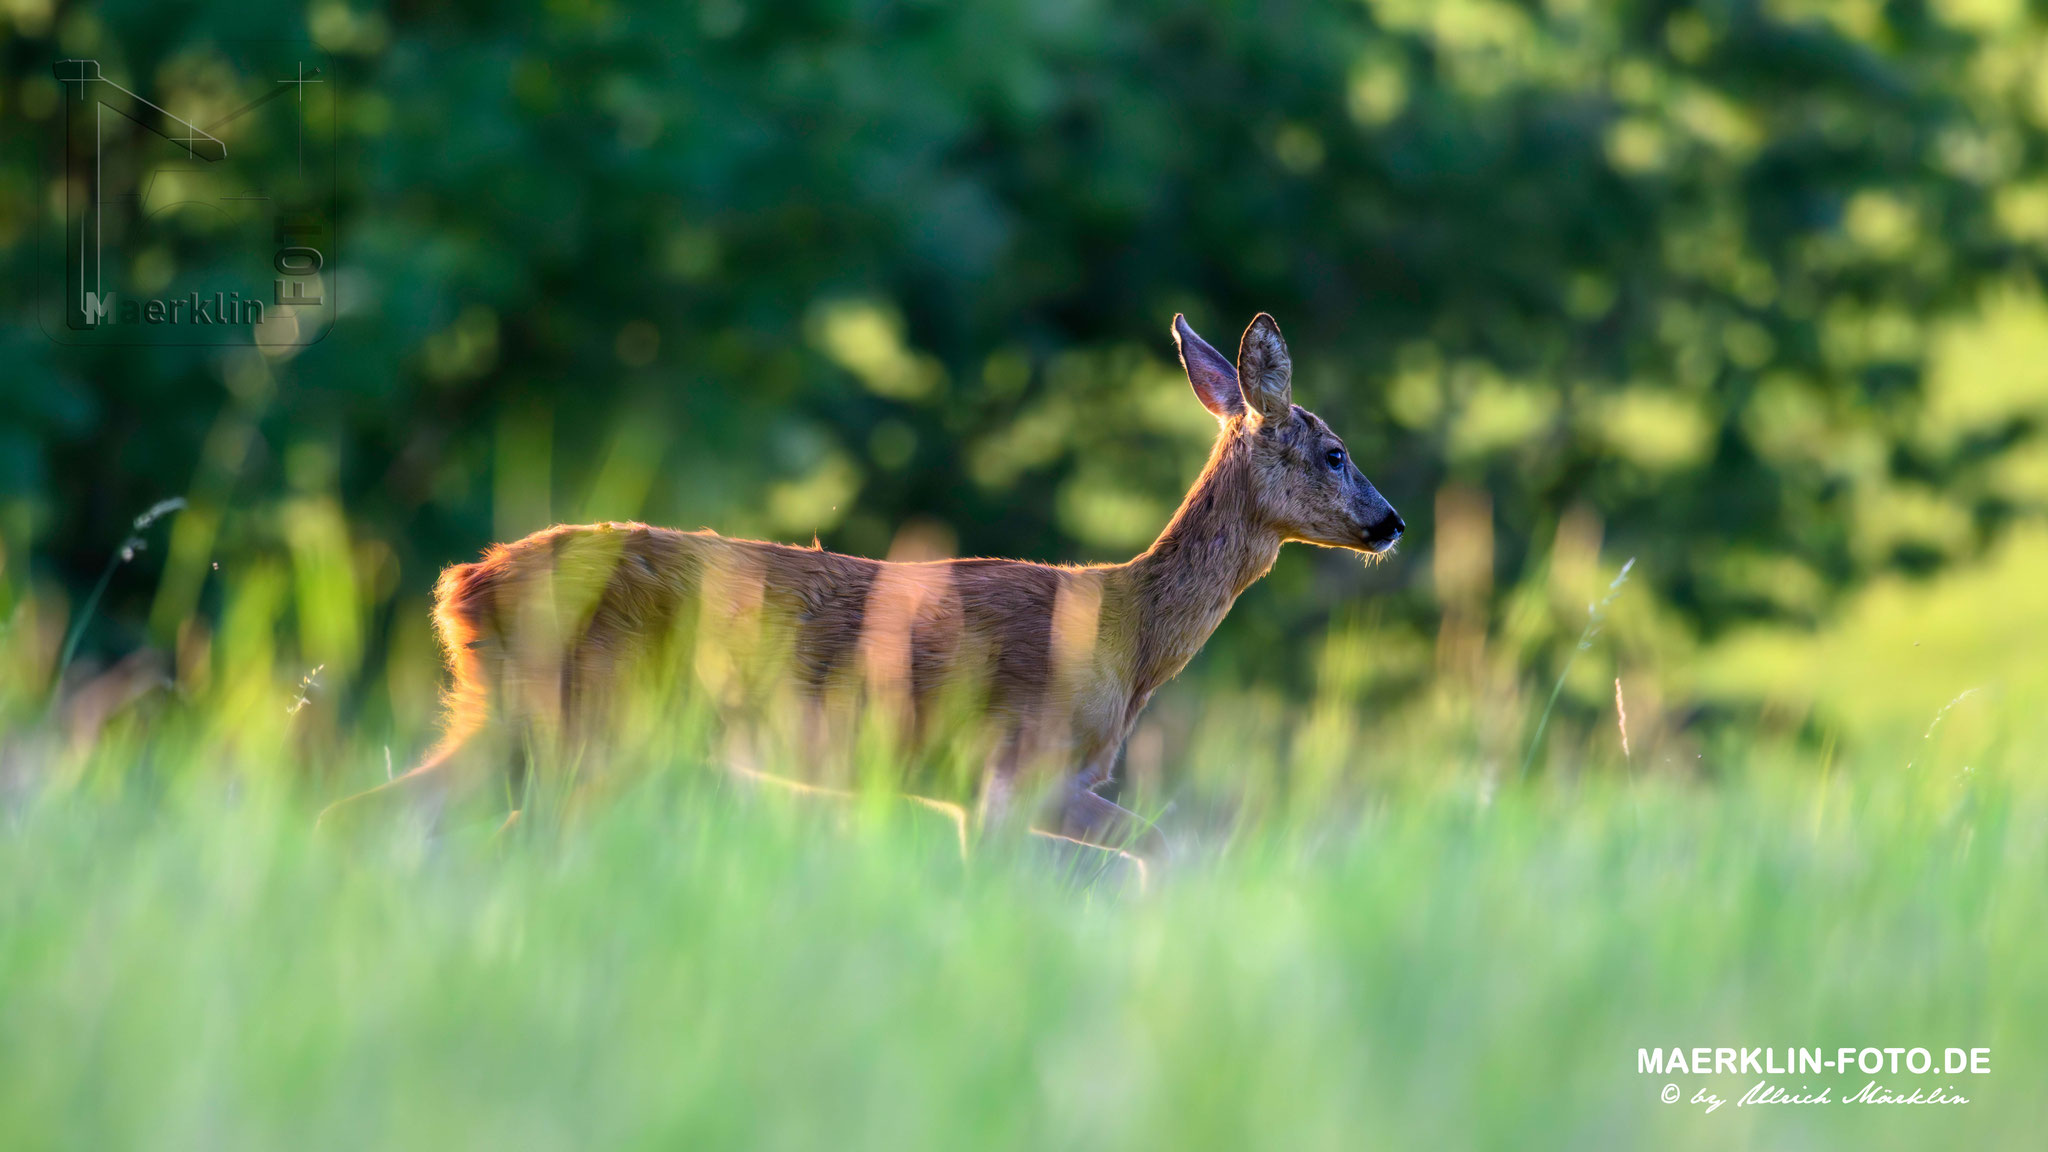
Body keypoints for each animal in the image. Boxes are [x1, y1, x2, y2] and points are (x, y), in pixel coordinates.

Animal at [319, 309, 1400, 856]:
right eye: (1336, 452)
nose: (1389, 523)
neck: (1127, 637)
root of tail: (459, 587)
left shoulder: (977, 788)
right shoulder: (1020, 766)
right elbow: (1164, 853)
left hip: (509, 714)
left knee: (377, 811)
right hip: (593, 716)